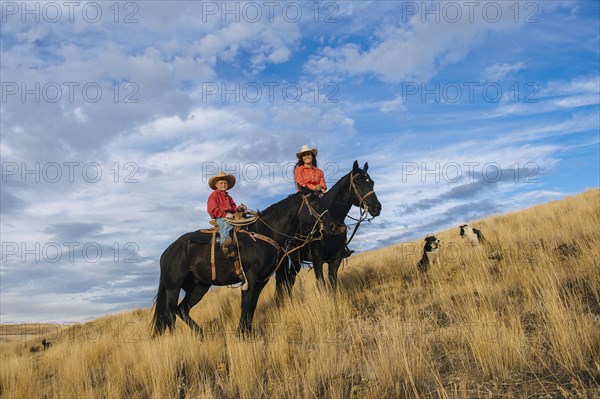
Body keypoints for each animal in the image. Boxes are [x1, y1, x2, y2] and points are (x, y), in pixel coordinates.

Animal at [152, 188, 336, 338]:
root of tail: (166, 253)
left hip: (199, 287)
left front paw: (247, 332)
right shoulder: (250, 276)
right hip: (173, 288)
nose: (333, 226)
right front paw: (241, 334)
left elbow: (252, 306)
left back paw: (202, 336)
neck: (264, 234)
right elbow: (245, 305)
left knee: (181, 310)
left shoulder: (262, 280)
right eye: (314, 203)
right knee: (169, 314)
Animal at [276, 161, 382, 302]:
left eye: (372, 182)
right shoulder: (317, 260)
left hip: (295, 261)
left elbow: (333, 283)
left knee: (289, 280)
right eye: (358, 182)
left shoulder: (335, 259)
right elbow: (321, 283)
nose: (377, 207)